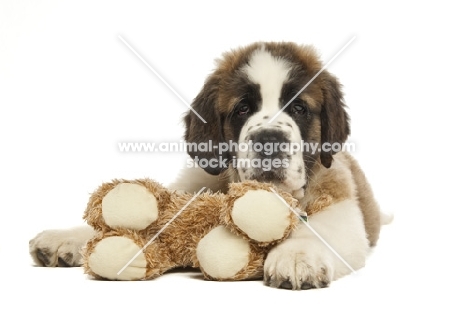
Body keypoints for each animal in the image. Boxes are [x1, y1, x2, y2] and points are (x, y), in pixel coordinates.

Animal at [29, 41, 388, 290]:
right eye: (242, 109)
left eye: (299, 108)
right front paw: (69, 237)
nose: (270, 139)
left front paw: (297, 256)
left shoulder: (340, 201)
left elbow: (321, 230)